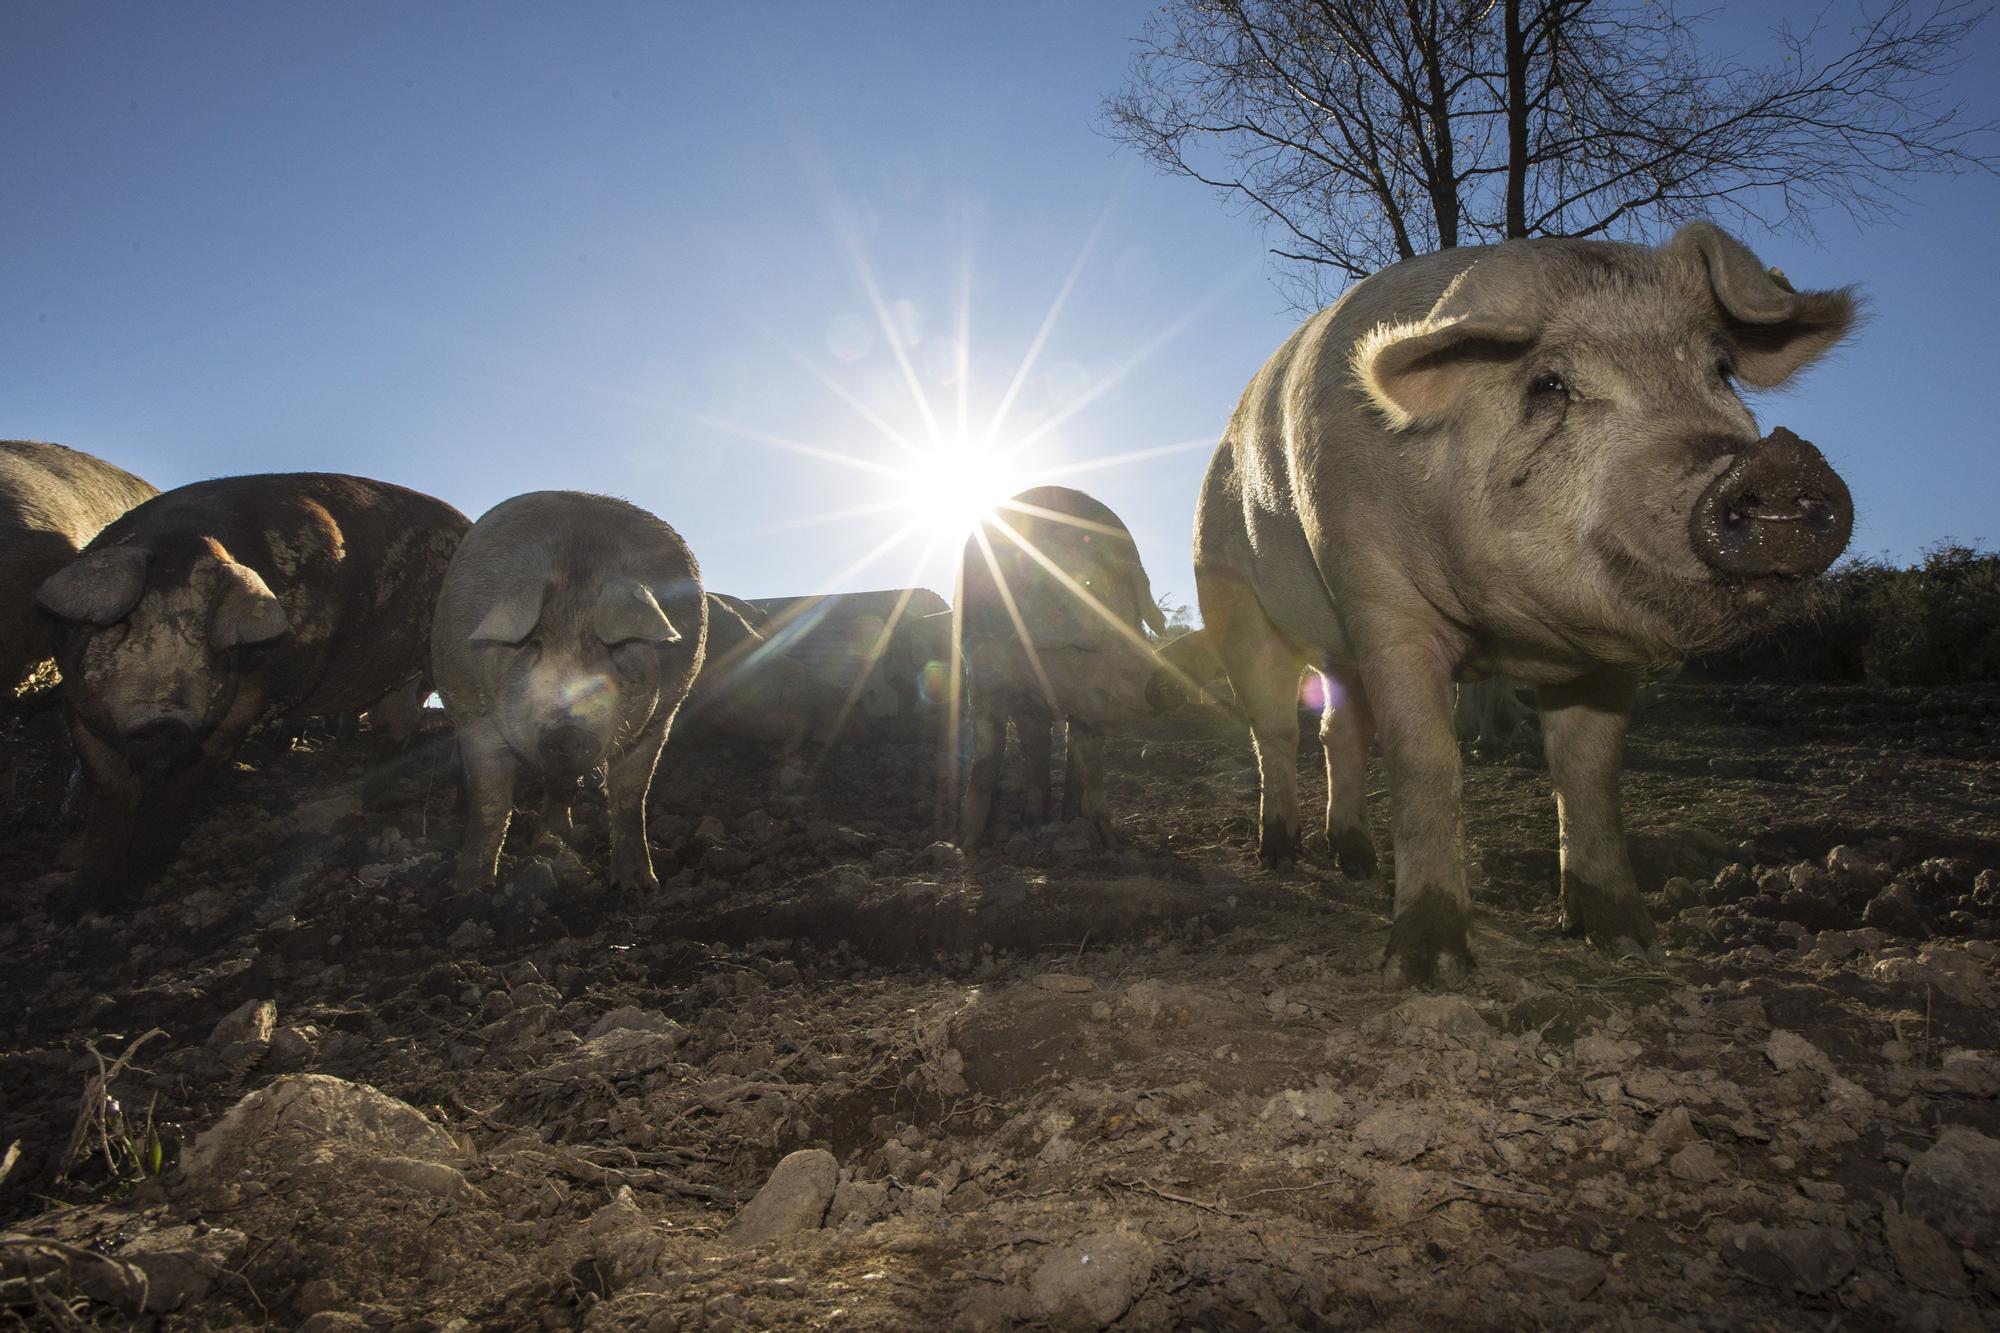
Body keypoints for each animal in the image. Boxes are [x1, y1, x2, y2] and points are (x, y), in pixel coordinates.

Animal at [37, 466, 466, 904]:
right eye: (124, 622)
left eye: (209, 640)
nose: (164, 720)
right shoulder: (77, 702)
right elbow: (109, 791)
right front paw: (85, 901)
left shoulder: (256, 697)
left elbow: (184, 784)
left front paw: (142, 880)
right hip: (397, 675)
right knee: (395, 724)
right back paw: (374, 806)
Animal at [428, 490, 704, 892]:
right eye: (533, 644)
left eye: (611, 648)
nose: (568, 731)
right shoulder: (471, 711)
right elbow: (490, 802)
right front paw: (470, 887)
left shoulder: (661, 716)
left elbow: (631, 796)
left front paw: (640, 885)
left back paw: (556, 838)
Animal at [956, 482, 1176, 844]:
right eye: (1081, 644)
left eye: (1135, 625)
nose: (1164, 682)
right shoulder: (984, 673)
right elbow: (989, 755)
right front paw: (966, 842)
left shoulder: (1090, 700)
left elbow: (1090, 760)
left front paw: (1107, 837)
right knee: (1036, 745)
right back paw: (1034, 822)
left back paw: (1069, 819)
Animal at [1184, 220, 1856, 984]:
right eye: (1550, 384)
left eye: (1720, 370)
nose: (1780, 463)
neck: (1508, 635)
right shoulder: (1376, 595)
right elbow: (1425, 758)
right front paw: (1428, 969)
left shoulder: (1611, 648)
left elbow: (1590, 771)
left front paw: (1628, 944)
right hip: (1229, 594)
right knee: (1273, 728)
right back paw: (1279, 856)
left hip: (1333, 649)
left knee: (1337, 729)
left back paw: (1357, 863)